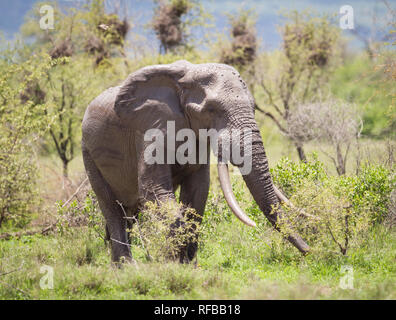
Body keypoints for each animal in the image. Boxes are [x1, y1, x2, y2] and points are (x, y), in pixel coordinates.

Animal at [81, 59, 310, 262]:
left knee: (129, 211)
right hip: (88, 153)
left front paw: (188, 265)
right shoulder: (149, 128)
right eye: (212, 110)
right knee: (112, 208)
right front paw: (172, 264)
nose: (310, 250)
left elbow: (198, 190)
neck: (187, 76)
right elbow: (153, 189)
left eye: (253, 108)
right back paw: (127, 267)